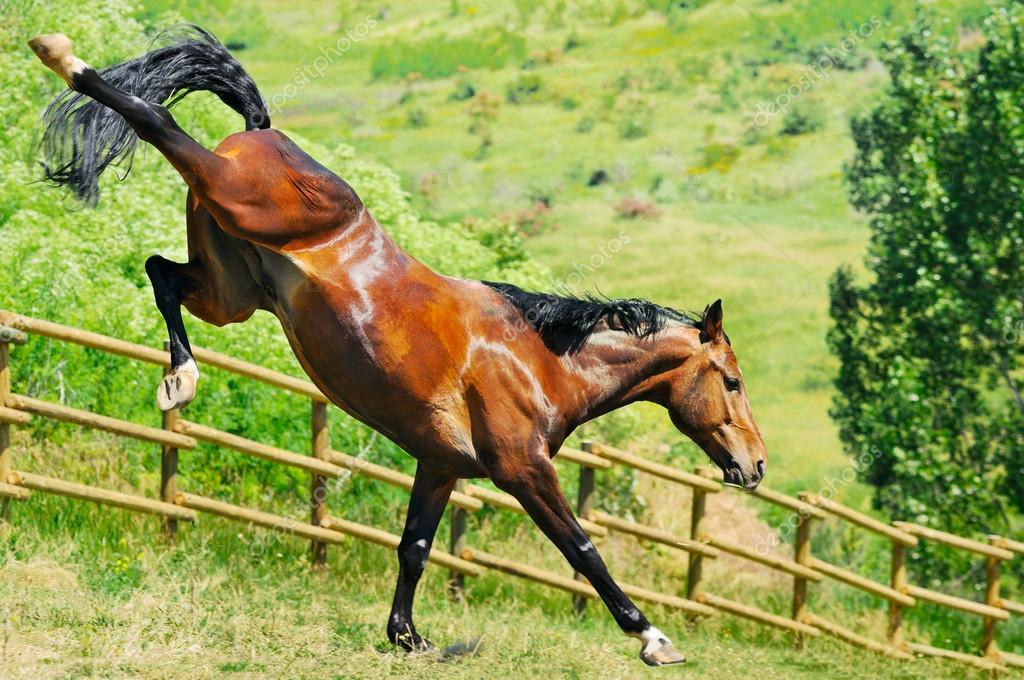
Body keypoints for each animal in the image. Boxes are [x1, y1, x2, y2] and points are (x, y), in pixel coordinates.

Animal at [27, 26, 767, 666]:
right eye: (732, 381)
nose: (755, 467)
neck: (539, 360)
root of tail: (264, 133)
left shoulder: (438, 465)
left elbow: (414, 546)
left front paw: (408, 638)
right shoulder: (524, 471)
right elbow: (582, 550)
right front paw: (656, 641)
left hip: (231, 289)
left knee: (161, 272)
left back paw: (179, 379)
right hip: (233, 201)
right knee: (158, 124)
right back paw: (59, 54)